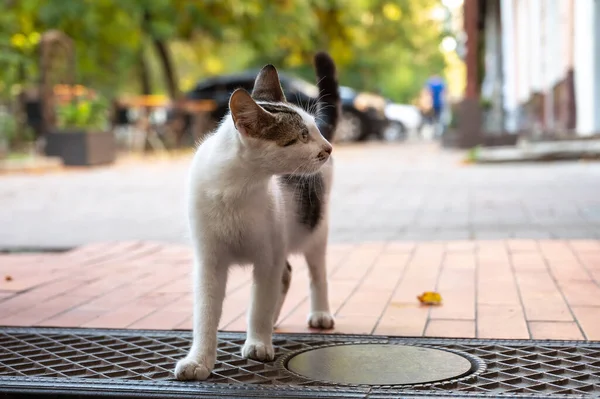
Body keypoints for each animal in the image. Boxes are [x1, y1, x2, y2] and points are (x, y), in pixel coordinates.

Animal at [176, 51, 340, 380]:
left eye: (313, 130)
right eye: (301, 136)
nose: (328, 148)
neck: (236, 191)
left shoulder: (268, 257)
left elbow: (259, 305)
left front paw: (259, 343)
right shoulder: (209, 261)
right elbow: (205, 315)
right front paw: (199, 360)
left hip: (314, 227)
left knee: (316, 274)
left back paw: (319, 313)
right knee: (286, 275)